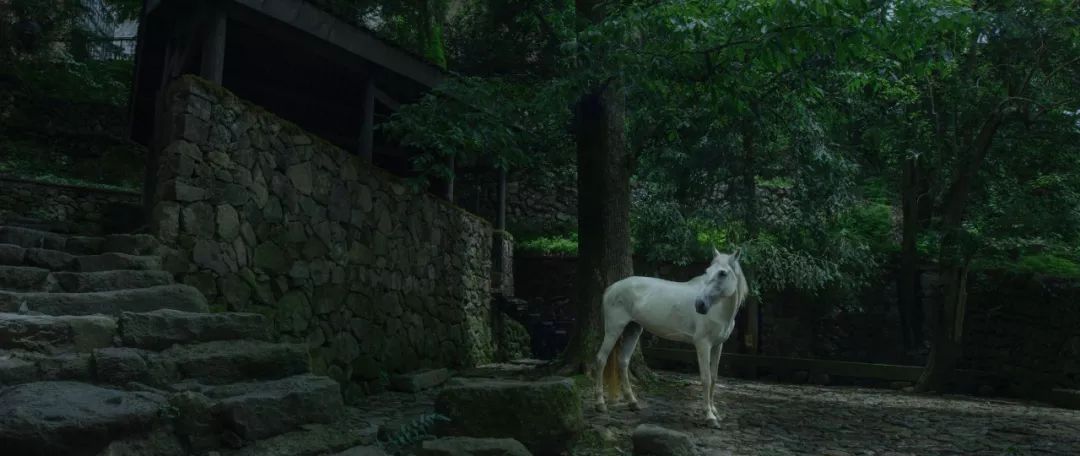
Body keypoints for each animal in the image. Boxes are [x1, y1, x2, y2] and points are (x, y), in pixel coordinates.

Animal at [596, 247, 747, 425]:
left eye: (722, 273)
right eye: (707, 271)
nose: (700, 305)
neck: (719, 311)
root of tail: (611, 288)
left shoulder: (718, 346)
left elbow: (715, 378)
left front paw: (715, 411)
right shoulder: (703, 344)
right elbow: (706, 378)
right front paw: (709, 416)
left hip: (633, 330)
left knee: (623, 362)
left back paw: (633, 402)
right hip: (614, 330)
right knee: (601, 359)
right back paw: (600, 404)